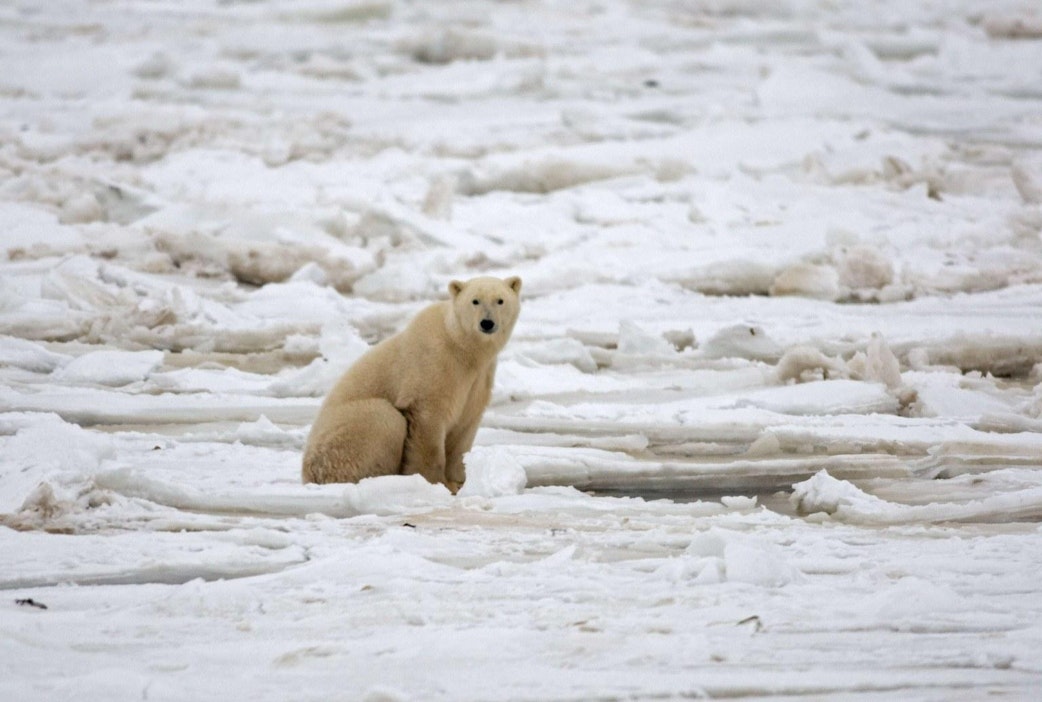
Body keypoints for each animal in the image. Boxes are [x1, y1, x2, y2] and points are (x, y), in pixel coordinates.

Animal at [304, 274, 525, 491]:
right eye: (475, 300)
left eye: (500, 300)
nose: (487, 323)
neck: (462, 347)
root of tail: (307, 475)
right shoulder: (433, 365)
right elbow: (428, 422)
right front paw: (436, 482)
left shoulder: (478, 379)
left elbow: (465, 425)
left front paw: (459, 480)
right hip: (342, 435)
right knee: (383, 418)